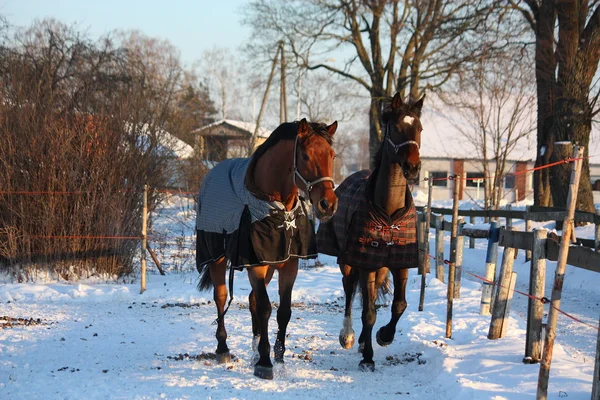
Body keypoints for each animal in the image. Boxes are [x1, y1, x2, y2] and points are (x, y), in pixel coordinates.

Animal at [196, 117, 338, 380]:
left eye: (332, 155)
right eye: (305, 155)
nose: (328, 205)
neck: (280, 210)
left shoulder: (288, 265)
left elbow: (283, 311)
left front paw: (278, 358)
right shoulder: (256, 265)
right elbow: (264, 308)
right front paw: (265, 363)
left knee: (251, 299)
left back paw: (253, 349)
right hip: (216, 258)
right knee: (221, 297)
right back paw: (223, 348)